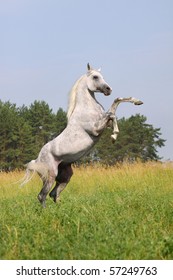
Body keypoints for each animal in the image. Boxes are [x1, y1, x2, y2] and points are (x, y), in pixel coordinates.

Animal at [22, 64, 143, 208]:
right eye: (95, 77)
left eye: (102, 76)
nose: (108, 89)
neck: (87, 108)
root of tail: (37, 161)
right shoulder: (96, 129)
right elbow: (112, 115)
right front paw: (114, 136)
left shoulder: (105, 123)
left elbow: (116, 104)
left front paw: (137, 101)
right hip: (50, 176)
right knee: (42, 195)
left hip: (65, 177)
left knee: (53, 194)